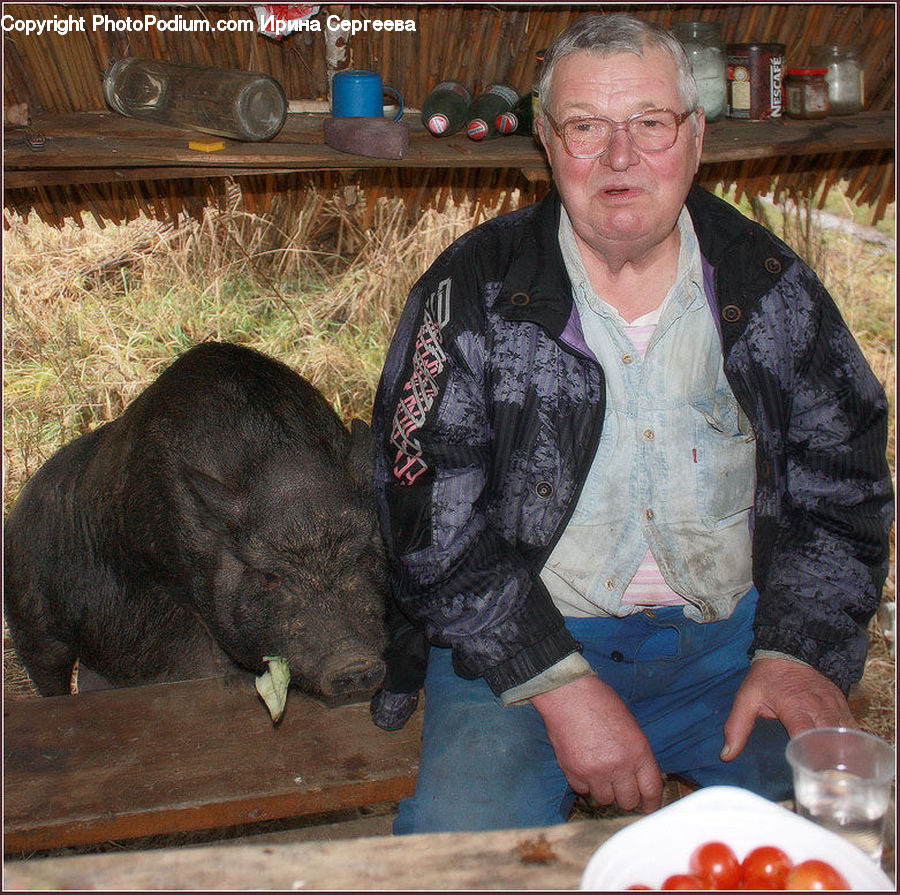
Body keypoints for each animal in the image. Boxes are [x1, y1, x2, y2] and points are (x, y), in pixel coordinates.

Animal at [3, 341, 406, 709]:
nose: (353, 664)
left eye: (364, 557)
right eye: (268, 576)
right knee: (49, 672)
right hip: (29, 617)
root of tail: (18, 505)